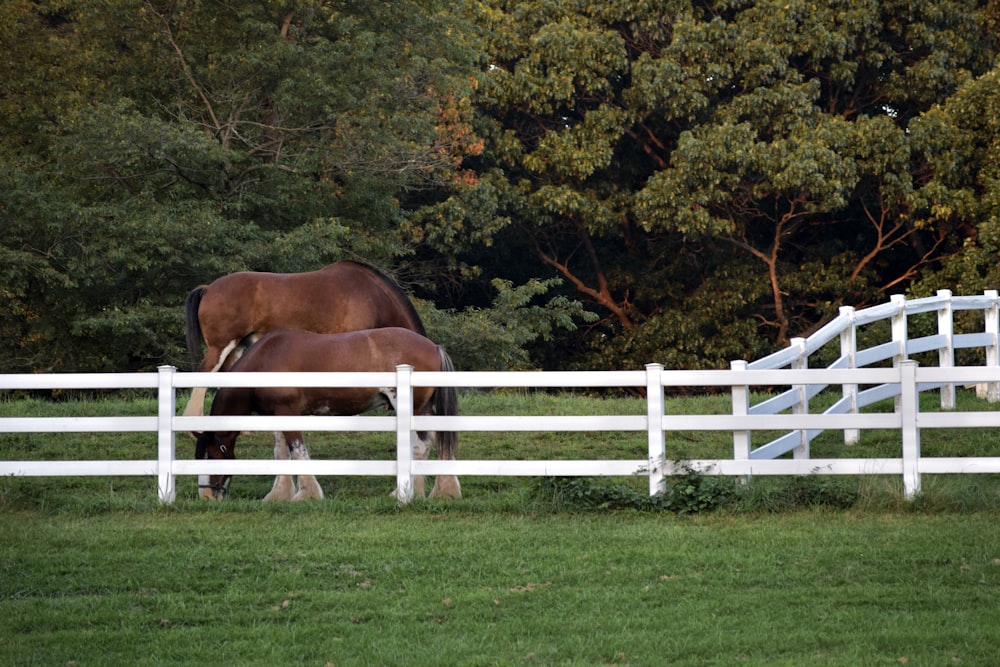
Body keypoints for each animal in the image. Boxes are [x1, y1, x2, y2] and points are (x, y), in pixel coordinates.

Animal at [194, 326, 460, 504]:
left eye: (211, 455)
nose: (206, 495)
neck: (265, 362)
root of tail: (433, 347)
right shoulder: (276, 416)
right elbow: (281, 454)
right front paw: (279, 495)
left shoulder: (289, 413)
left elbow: (298, 451)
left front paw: (307, 494)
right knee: (437, 444)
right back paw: (441, 491)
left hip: (412, 408)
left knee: (421, 445)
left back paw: (406, 492)